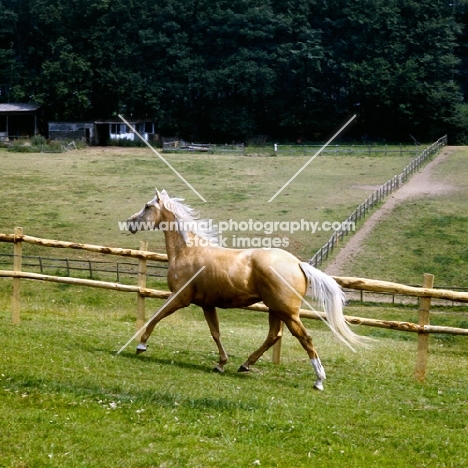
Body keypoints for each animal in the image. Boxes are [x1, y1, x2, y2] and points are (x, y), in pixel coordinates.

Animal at [126, 188, 364, 390]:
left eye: (147, 206)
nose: (129, 223)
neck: (187, 251)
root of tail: (298, 264)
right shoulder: (207, 304)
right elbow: (215, 332)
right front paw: (221, 363)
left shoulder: (179, 298)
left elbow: (156, 316)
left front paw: (141, 346)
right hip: (275, 309)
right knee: (274, 335)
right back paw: (245, 365)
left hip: (287, 312)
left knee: (305, 338)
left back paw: (319, 381)